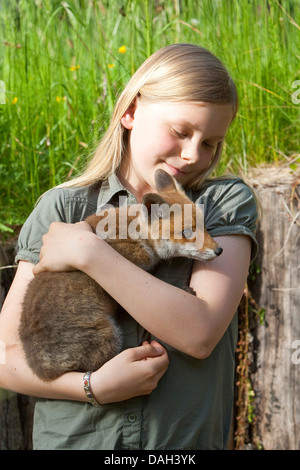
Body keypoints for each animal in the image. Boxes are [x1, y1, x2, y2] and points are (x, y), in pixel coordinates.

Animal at [18, 171, 220, 380]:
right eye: (186, 232)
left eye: (205, 226)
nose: (219, 250)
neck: (138, 234)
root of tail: (41, 370)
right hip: (110, 337)